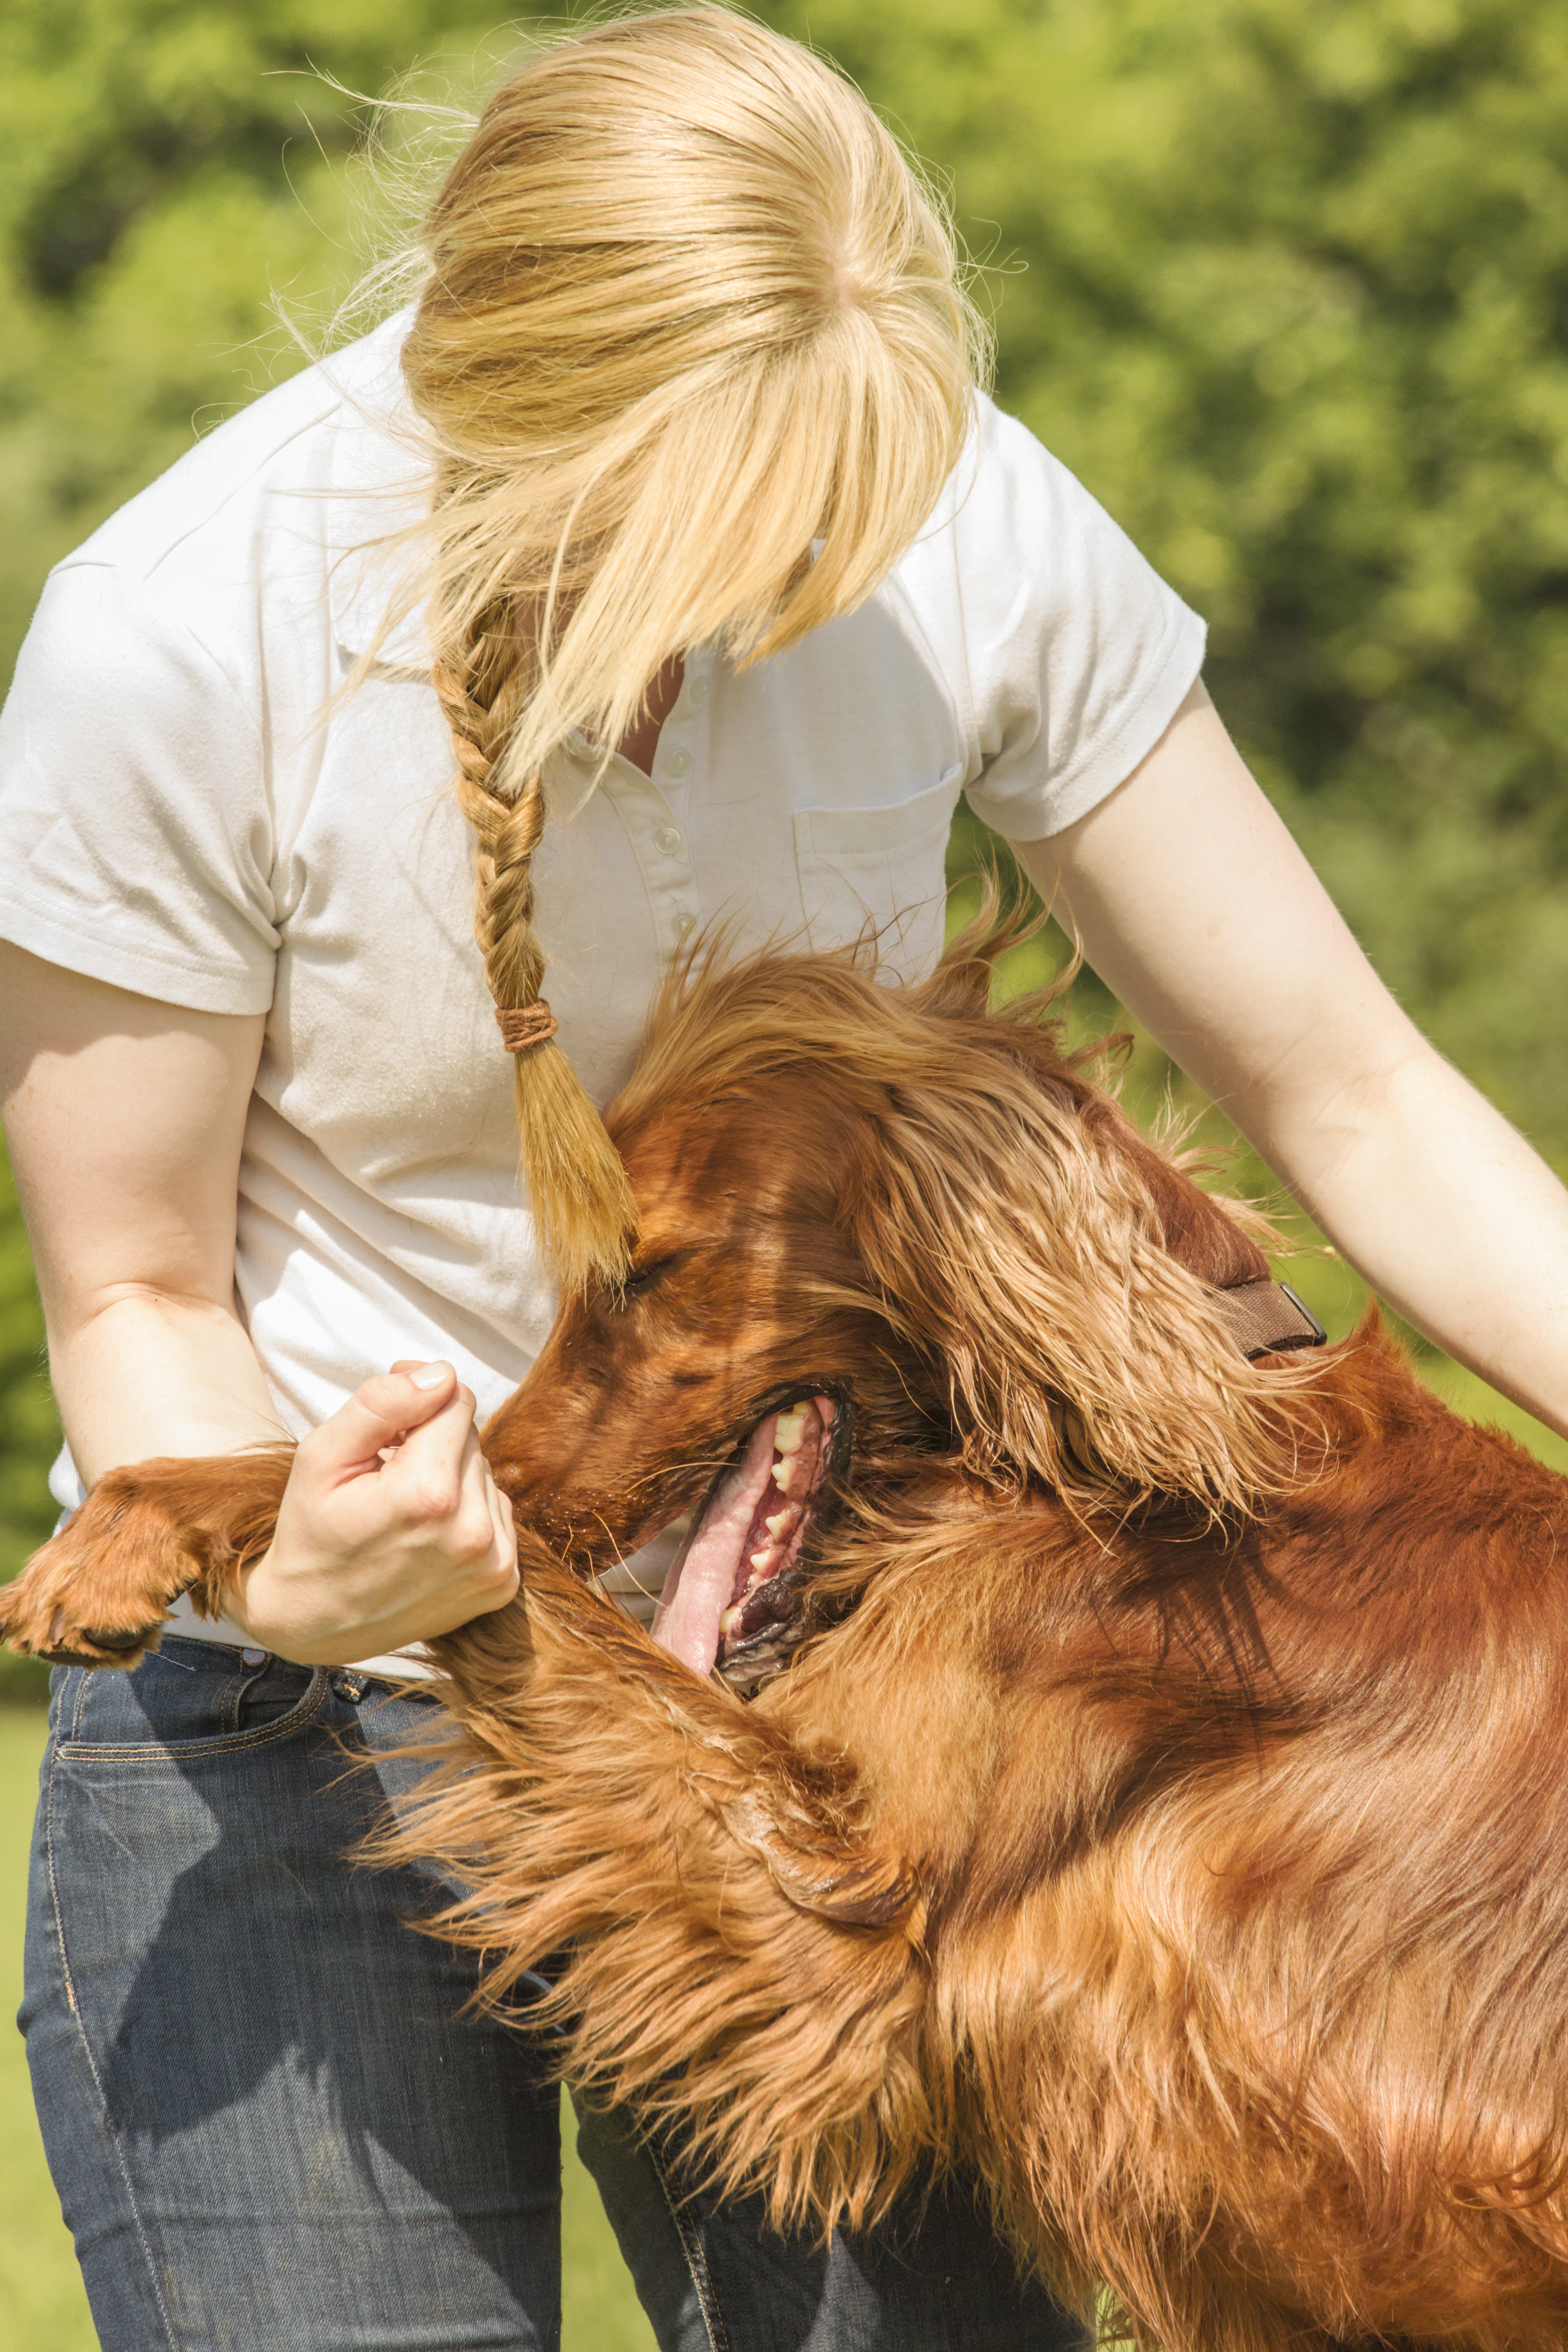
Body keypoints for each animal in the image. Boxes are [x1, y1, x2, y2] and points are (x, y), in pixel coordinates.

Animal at [9, 927, 1568, 2342]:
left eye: (645, 1273)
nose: (512, 1471)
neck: (1107, 1476)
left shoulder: (840, 1916)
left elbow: (519, 1583)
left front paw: (151, 1519)